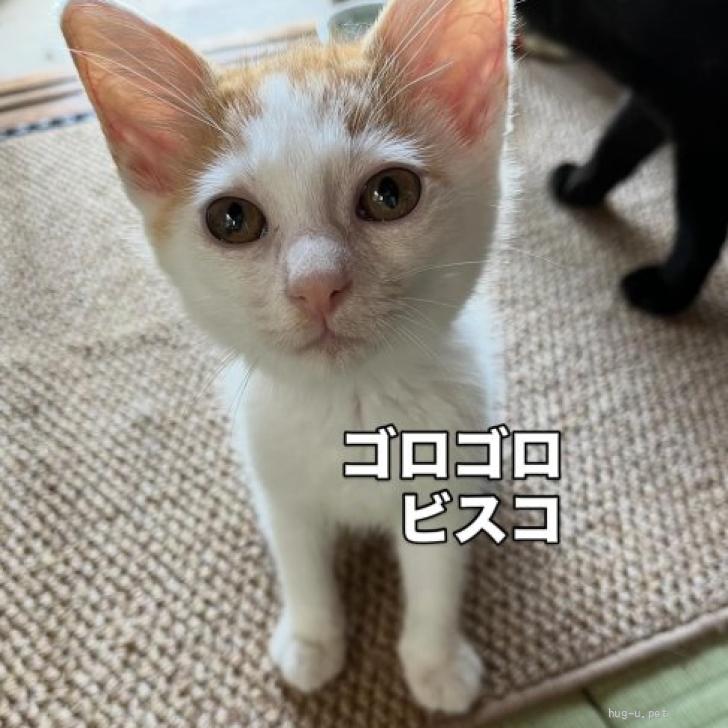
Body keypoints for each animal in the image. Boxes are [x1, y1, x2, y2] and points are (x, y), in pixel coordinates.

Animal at [61, 0, 511, 714]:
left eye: (391, 193)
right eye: (232, 219)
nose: (316, 283)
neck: (351, 408)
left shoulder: (442, 480)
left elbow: (436, 577)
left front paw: (434, 660)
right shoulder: (276, 482)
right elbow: (300, 563)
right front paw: (311, 638)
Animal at [518, 0, 728, 315]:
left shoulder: (705, 127)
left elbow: (698, 229)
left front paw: (669, 290)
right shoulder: (658, 93)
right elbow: (615, 143)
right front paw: (579, 186)